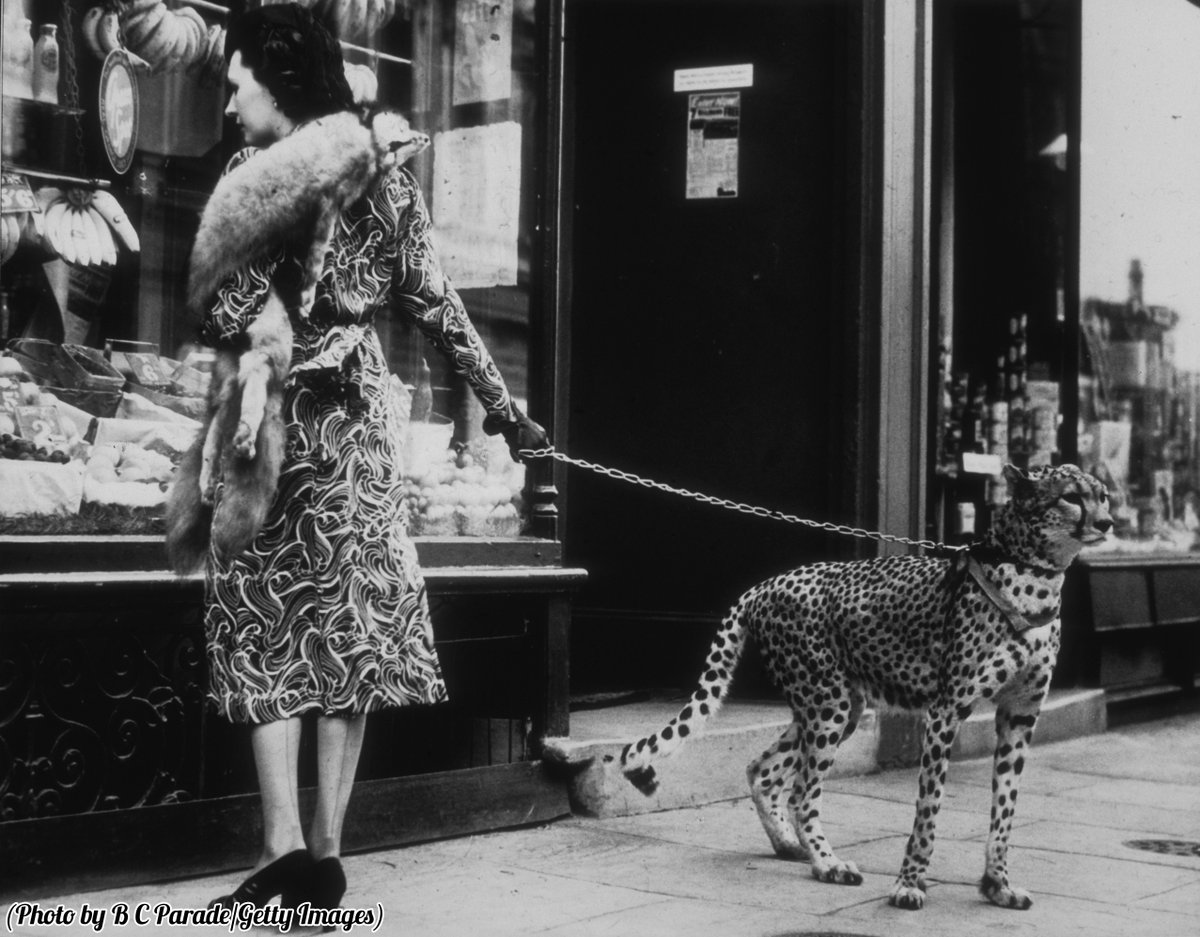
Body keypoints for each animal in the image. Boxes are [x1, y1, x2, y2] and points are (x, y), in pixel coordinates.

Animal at [624, 463, 1108, 911]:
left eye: (1103, 495)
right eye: (1070, 497)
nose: (1106, 522)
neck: (1033, 572)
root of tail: (765, 585)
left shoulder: (1020, 715)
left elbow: (1004, 811)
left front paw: (998, 886)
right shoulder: (946, 712)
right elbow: (928, 809)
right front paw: (909, 884)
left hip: (837, 708)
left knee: (762, 769)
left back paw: (790, 847)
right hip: (828, 706)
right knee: (802, 793)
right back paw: (827, 864)